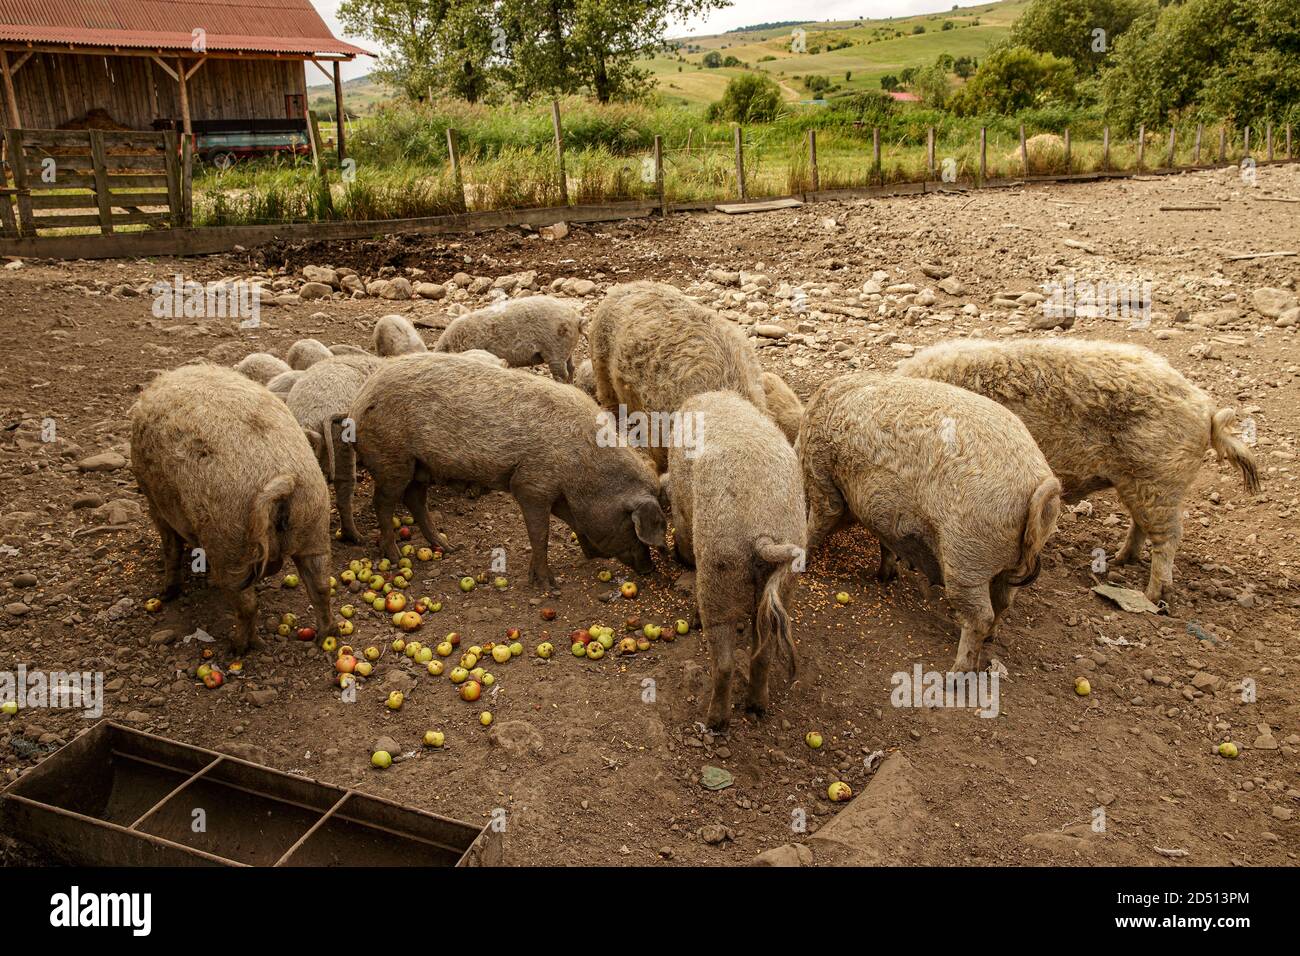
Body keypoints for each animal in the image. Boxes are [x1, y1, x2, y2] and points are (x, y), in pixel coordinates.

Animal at [130, 364, 336, 655]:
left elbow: (170, 548)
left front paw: (165, 594)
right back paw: (325, 635)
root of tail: (282, 478)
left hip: (229, 543)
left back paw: (237, 647)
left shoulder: (154, 502)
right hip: (315, 523)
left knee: (247, 605)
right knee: (321, 586)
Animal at [348, 352, 667, 588]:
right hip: (393, 460)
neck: (582, 463)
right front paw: (548, 585)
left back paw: (448, 547)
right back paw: (394, 555)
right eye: (631, 525)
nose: (650, 569)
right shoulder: (531, 485)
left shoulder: (553, 492)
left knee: (414, 499)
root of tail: (359, 401)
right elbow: (540, 535)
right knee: (383, 502)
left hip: (420, 464)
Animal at [668, 391, 807, 729]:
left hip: (719, 566)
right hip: (788, 577)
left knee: (724, 661)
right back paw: (757, 708)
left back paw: (715, 722)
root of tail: (762, 534)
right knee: (764, 652)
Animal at [800, 373, 1061, 672]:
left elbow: (821, 520)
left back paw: (957, 673)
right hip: (1005, 566)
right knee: (1003, 603)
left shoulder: (821, 475)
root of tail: (1039, 483)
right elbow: (886, 544)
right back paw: (990, 639)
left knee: (980, 616)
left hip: (966, 558)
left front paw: (802, 561)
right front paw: (885, 577)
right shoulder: (885, 515)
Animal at [898, 338, 1260, 603]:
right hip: (1139, 483)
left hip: (1161, 479)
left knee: (1169, 537)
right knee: (1142, 524)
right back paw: (1119, 560)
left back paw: (1151, 595)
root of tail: (1206, 409)